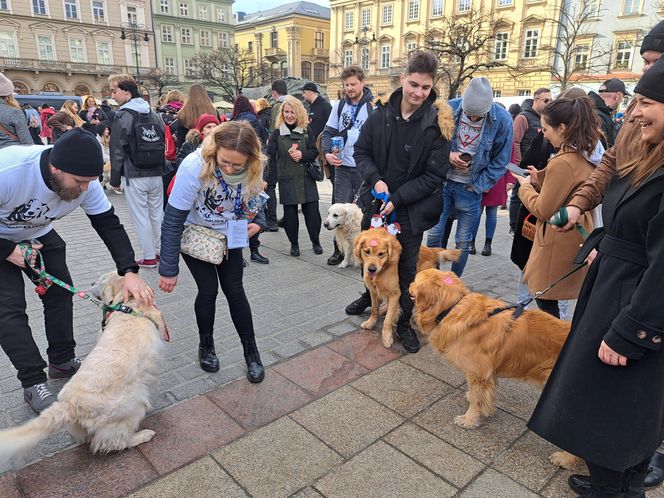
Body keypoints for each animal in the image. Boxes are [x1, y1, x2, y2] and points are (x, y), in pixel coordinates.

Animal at [0, 270, 169, 464]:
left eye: (101, 280)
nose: (91, 283)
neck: (129, 306)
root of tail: (70, 404)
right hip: (134, 407)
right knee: (113, 442)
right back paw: (141, 436)